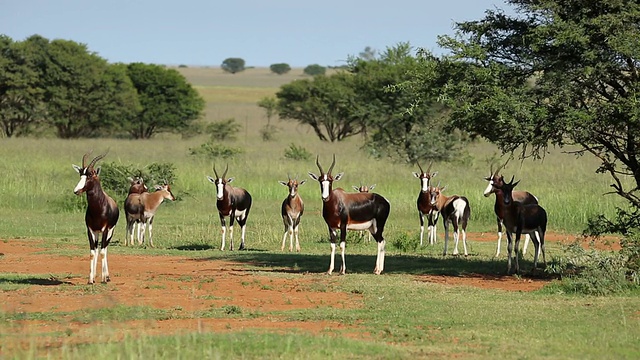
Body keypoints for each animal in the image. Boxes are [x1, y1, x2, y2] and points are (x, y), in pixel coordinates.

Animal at [73, 150, 119, 282]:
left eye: (90, 175)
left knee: (105, 248)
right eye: (81, 175)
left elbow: (103, 251)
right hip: (97, 233)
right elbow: (92, 252)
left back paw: (106, 277)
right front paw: (90, 279)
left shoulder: (105, 229)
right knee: (98, 249)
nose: (76, 191)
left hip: (109, 232)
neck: (99, 208)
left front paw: (103, 279)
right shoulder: (90, 230)